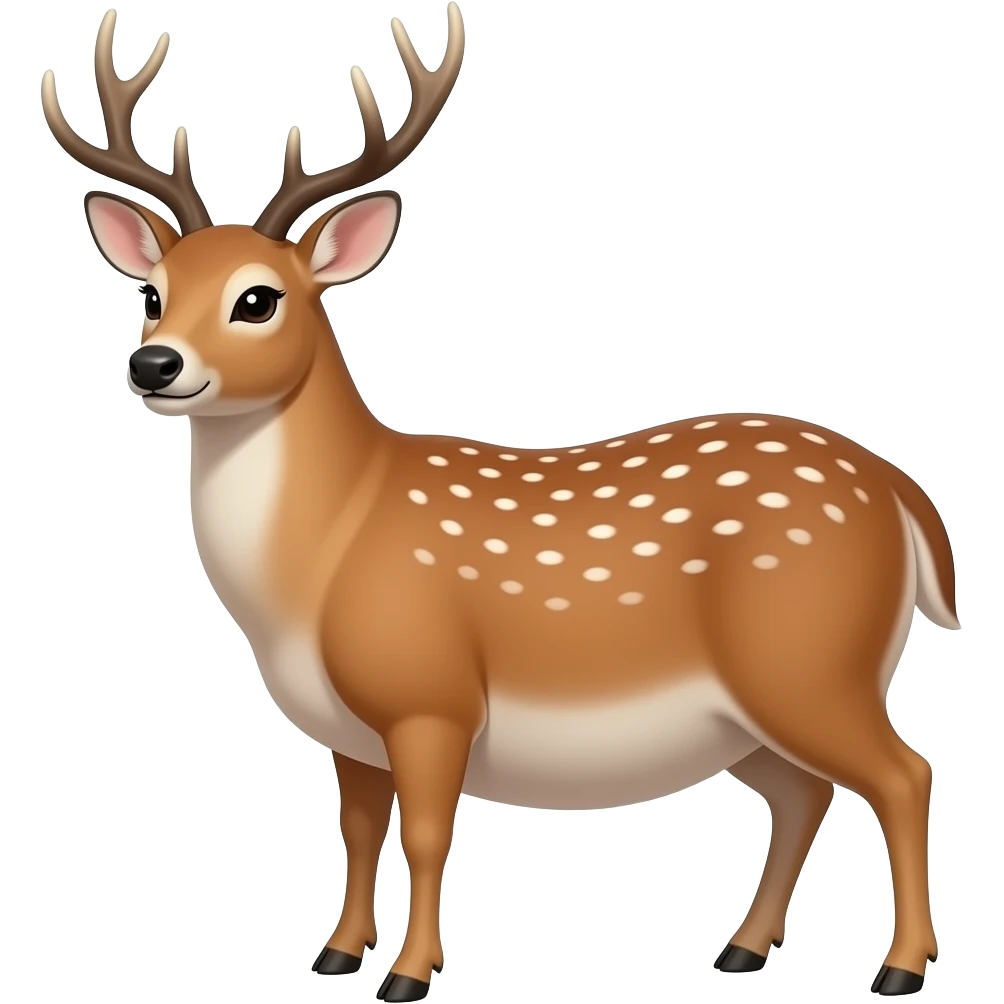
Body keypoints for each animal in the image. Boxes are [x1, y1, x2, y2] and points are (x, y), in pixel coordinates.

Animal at [41, 7, 958, 1000]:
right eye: (154, 294)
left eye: (259, 299)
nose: (154, 363)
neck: (319, 563)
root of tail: (900, 492)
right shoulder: (346, 729)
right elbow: (359, 831)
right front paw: (336, 954)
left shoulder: (429, 693)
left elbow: (427, 834)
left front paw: (409, 974)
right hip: (759, 704)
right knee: (805, 791)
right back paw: (741, 950)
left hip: (811, 658)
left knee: (904, 773)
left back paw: (899, 969)